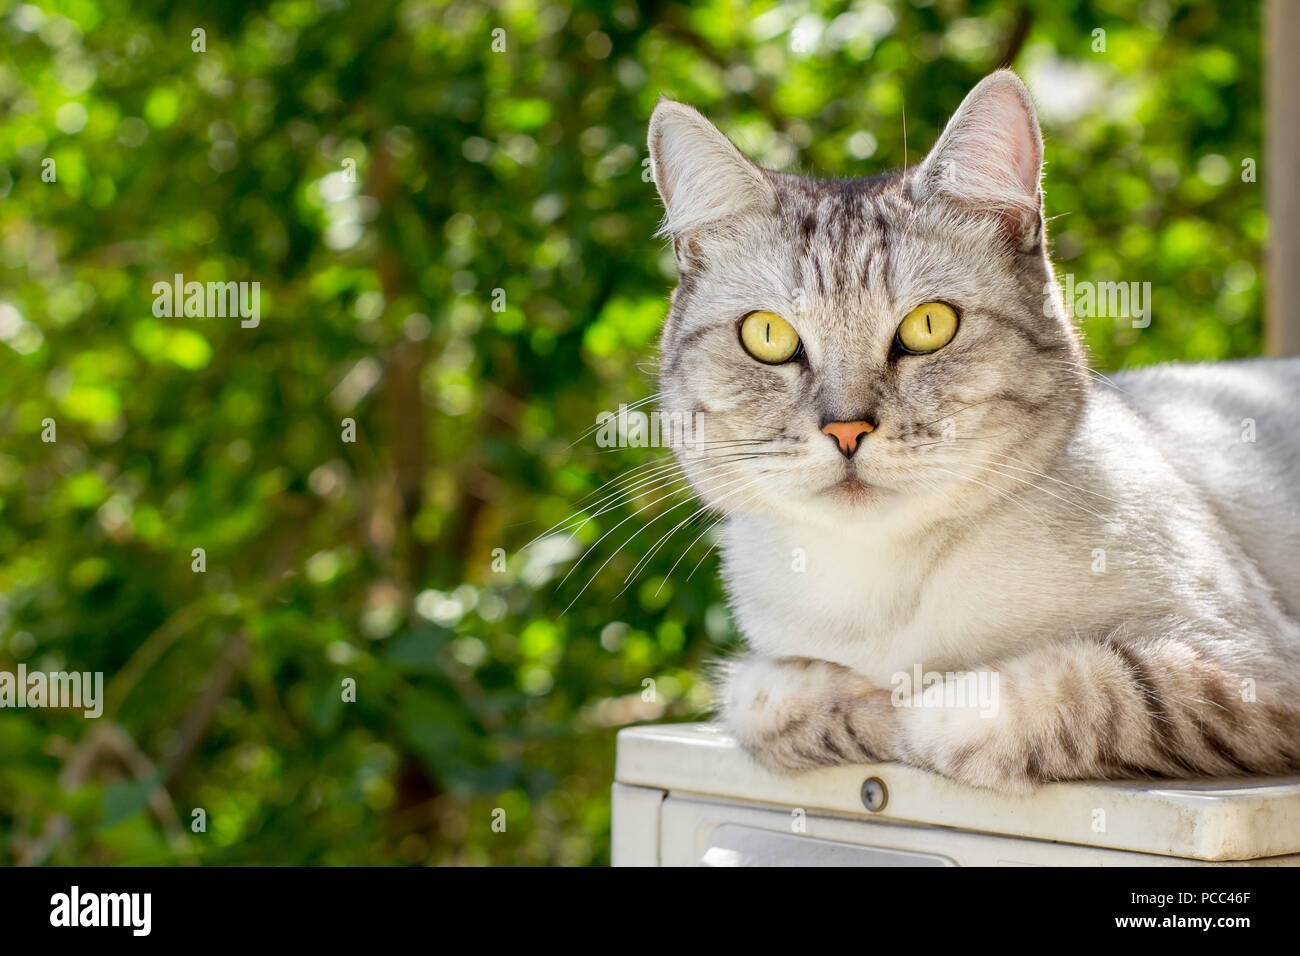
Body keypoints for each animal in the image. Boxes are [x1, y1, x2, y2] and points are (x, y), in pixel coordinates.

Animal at [642, 70, 1300, 790]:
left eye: (930, 326)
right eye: (768, 337)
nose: (846, 430)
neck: (883, 587)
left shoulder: (1249, 667)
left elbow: (1078, 691)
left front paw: (915, 711)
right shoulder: (761, 668)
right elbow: (759, 699)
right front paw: (862, 706)